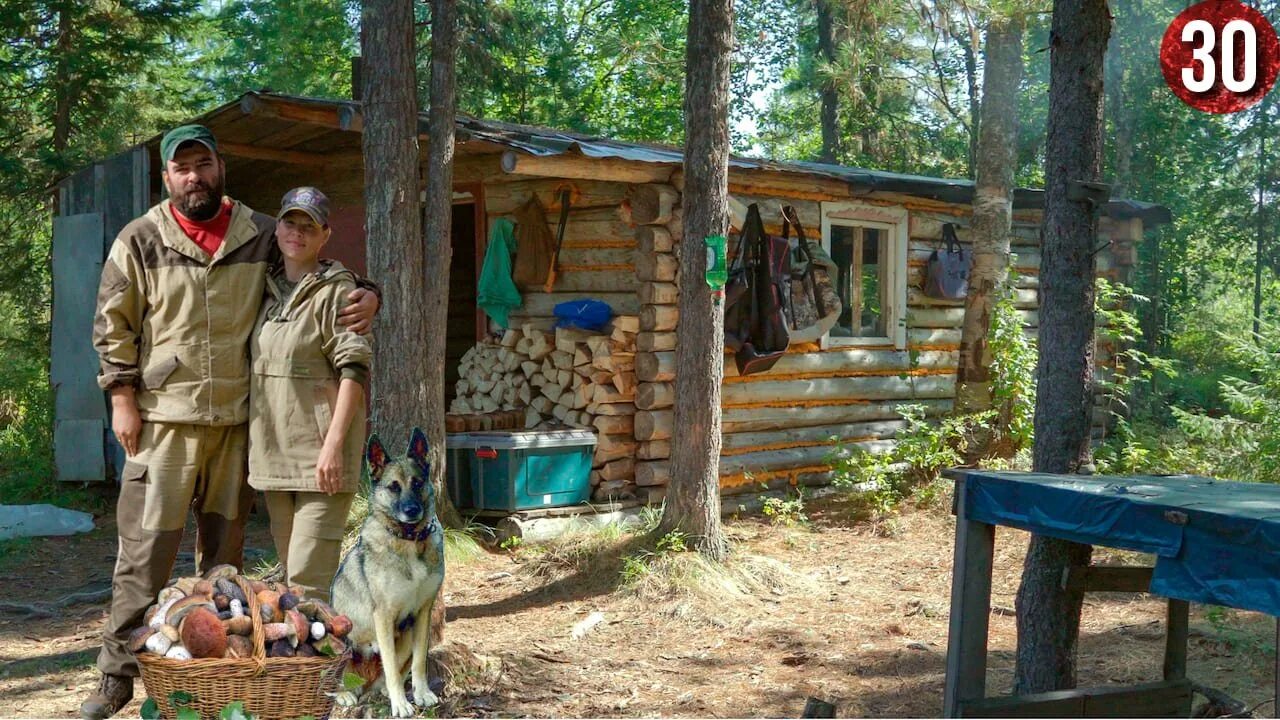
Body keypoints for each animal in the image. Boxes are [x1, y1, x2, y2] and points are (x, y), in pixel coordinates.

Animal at [330, 425, 445, 712]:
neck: (409, 540)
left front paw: (421, 693)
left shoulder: (423, 613)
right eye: (394, 487)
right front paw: (400, 704)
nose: (412, 510)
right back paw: (344, 693)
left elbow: (418, 662)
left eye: (417, 483)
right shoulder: (383, 615)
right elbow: (391, 667)